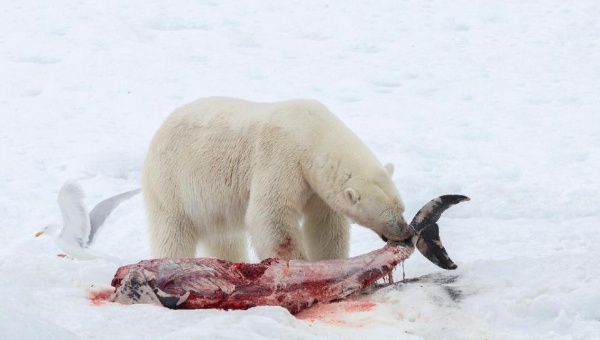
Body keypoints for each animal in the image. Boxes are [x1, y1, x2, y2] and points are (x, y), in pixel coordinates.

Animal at [143, 97, 410, 262]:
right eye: (386, 217)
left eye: (402, 208)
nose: (406, 232)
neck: (311, 133)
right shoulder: (282, 157)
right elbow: (271, 216)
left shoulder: (315, 186)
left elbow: (325, 225)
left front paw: (332, 260)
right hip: (173, 183)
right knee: (173, 234)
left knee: (225, 239)